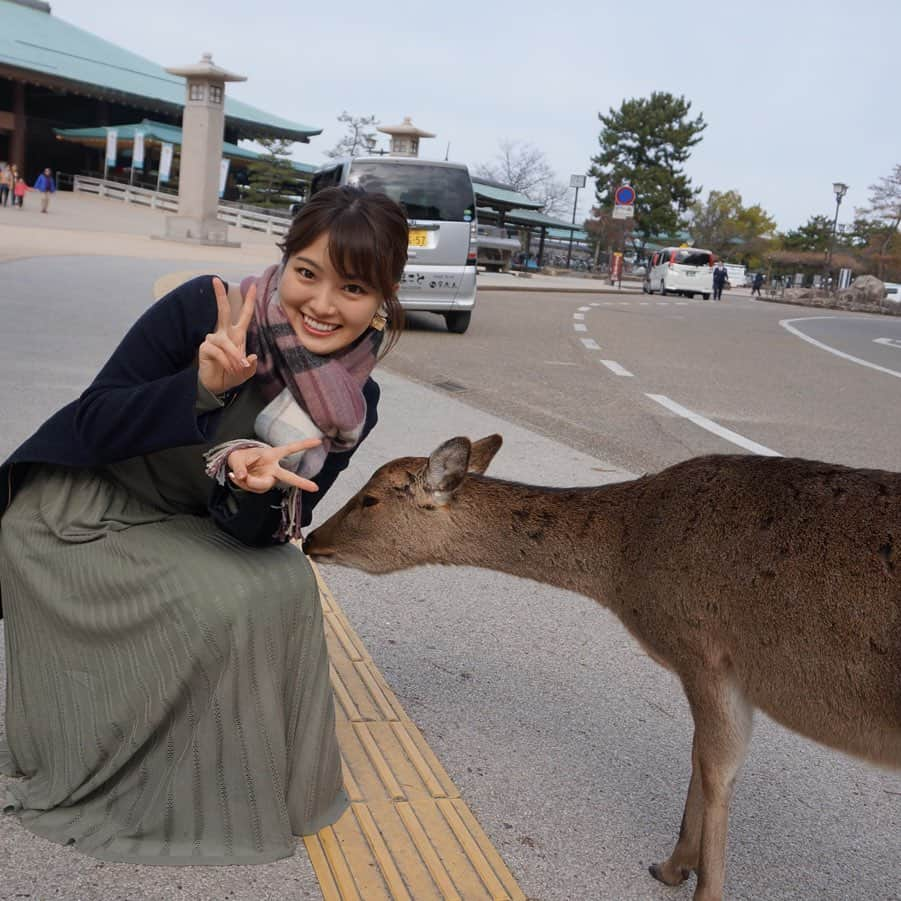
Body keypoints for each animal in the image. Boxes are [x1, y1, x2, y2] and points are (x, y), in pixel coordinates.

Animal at [304, 436, 900, 900]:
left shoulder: (707, 651)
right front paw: (673, 865)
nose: (311, 539)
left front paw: (691, 878)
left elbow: (715, 768)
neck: (626, 562)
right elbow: (698, 759)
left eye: (370, 498)